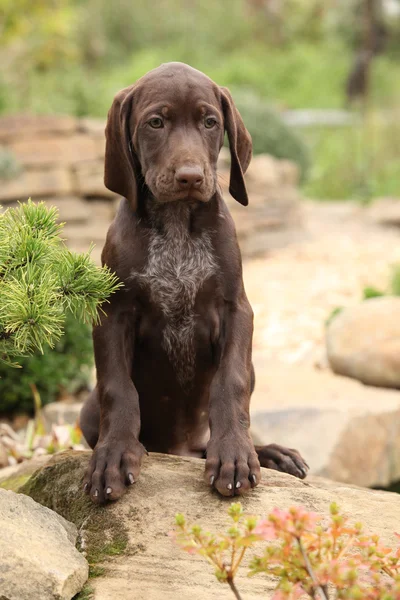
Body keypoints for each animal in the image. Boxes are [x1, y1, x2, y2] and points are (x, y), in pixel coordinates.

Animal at [79, 62, 308, 502]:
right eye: (155, 122)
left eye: (209, 122)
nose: (189, 177)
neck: (177, 224)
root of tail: (179, 449)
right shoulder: (113, 312)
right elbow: (118, 388)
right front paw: (114, 453)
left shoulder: (235, 309)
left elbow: (230, 384)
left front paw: (234, 453)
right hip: (86, 410)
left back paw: (269, 452)